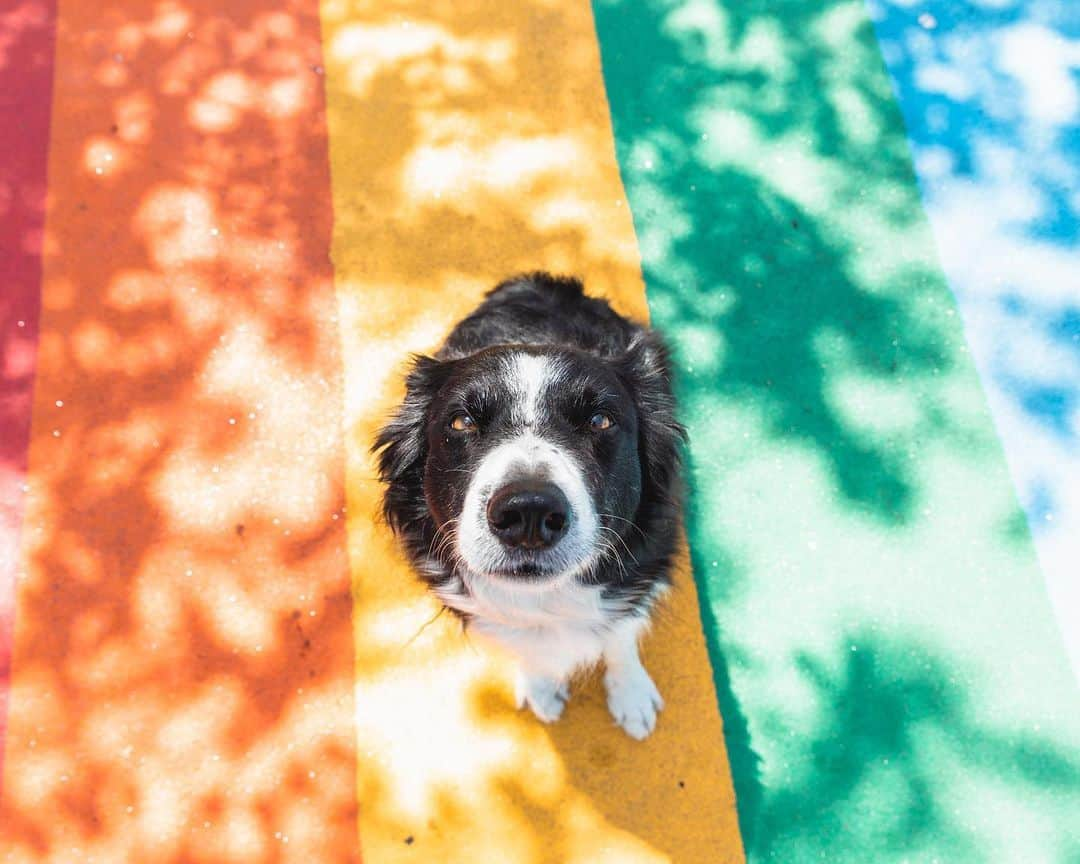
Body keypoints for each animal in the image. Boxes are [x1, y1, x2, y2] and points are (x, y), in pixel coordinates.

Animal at [375, 273, 686, 738]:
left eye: (601, 420)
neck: (546, 602)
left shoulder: (641, 570)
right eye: (461, 421)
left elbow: (620, 633)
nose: (529, 514)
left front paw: (631, 694)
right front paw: (542, 685)